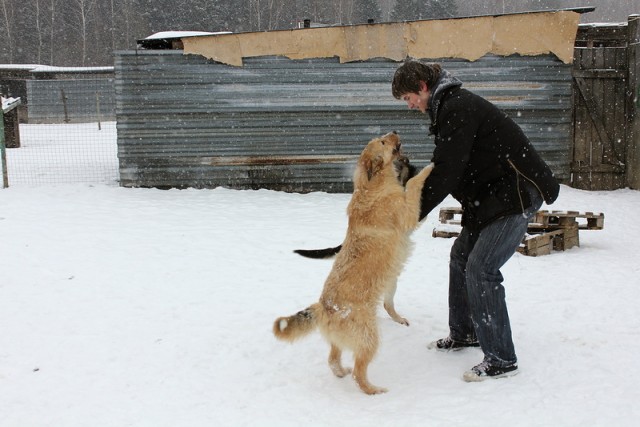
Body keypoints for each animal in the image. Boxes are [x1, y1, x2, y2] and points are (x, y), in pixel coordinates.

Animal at [272, 132, 432, 396]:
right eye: (383, 142)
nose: (394, 132)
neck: (371, 186)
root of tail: (323, 307)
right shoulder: (410, 213)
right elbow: (413, 184)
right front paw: (430, 167)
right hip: (370, 338)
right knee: (359, 374)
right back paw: (375, 391)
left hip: (349, 332)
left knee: (333, 360)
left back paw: (341, 372)